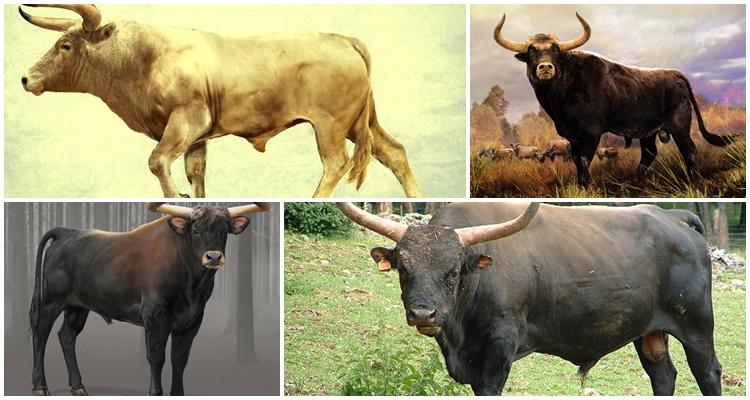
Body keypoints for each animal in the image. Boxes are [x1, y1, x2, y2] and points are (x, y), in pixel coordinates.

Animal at [19, 4, 422, 198]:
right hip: (359, 123)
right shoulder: (197, 137)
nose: (26, 78)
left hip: (331, 126)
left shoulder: (187, 119)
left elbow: (157, 160)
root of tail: (343, 39)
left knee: (336, 163)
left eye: (65, 45)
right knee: (395, 151)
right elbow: (194, 174)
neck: (146, 57)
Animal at [29, 202, 271, 396]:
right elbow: (156, 356)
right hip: (50, 301)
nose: (213, 257)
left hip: (77, 306)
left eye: (224, 231)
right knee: (40, 336)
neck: (191, 287)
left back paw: (78, 386)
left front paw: (178, 393)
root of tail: (66, 232)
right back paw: (40, 386)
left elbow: (179, 358)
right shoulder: (155, 315)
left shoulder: (193, 319)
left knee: (66, 337)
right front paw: (155, 392)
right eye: (195, 230)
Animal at [337, 202, 721, 396]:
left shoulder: (499, 347)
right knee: (663, 375)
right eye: (403, 268)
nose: (423, 314)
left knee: (707, 372)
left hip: (697, 325)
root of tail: (673, 216)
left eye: (454, 272)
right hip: (649, 332)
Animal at [493, 14, 735, 187]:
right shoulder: (572, 136)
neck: (564, 93)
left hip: (680, 125)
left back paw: (692, 182)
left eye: (555, 51)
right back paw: (634, 182)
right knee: (649, 153)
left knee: (689, 150)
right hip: (647, 131)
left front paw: (584, 187)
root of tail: (675, 73)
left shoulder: (590, 133)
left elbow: (584, 161)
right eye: (531, 52)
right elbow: (577, 161)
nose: (545, 67)